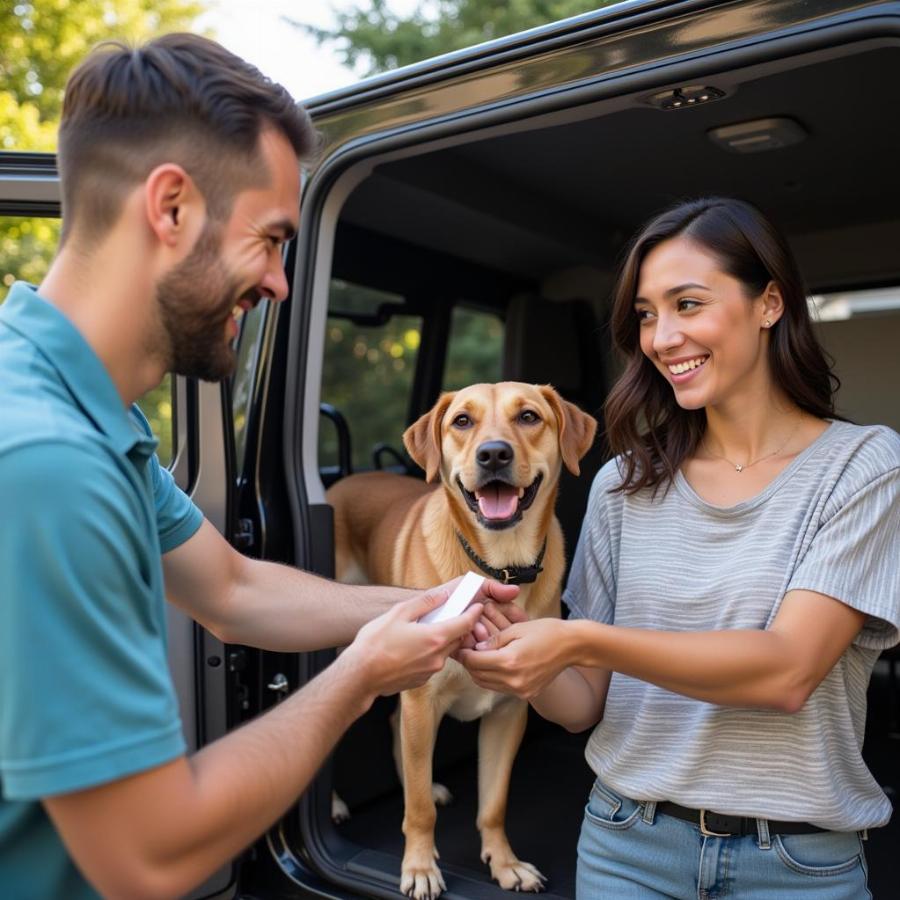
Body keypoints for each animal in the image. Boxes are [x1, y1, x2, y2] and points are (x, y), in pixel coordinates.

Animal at [326, 384, 596, 896]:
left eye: (528, 416)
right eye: (462, 421)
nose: (493, 454)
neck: (500, 565)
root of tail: (340, 484)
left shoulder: (510, 709)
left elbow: (492, 804)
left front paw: (504, 862)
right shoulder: (422, 697)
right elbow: (417, 811)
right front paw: (418, 867)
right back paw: (332, 802)